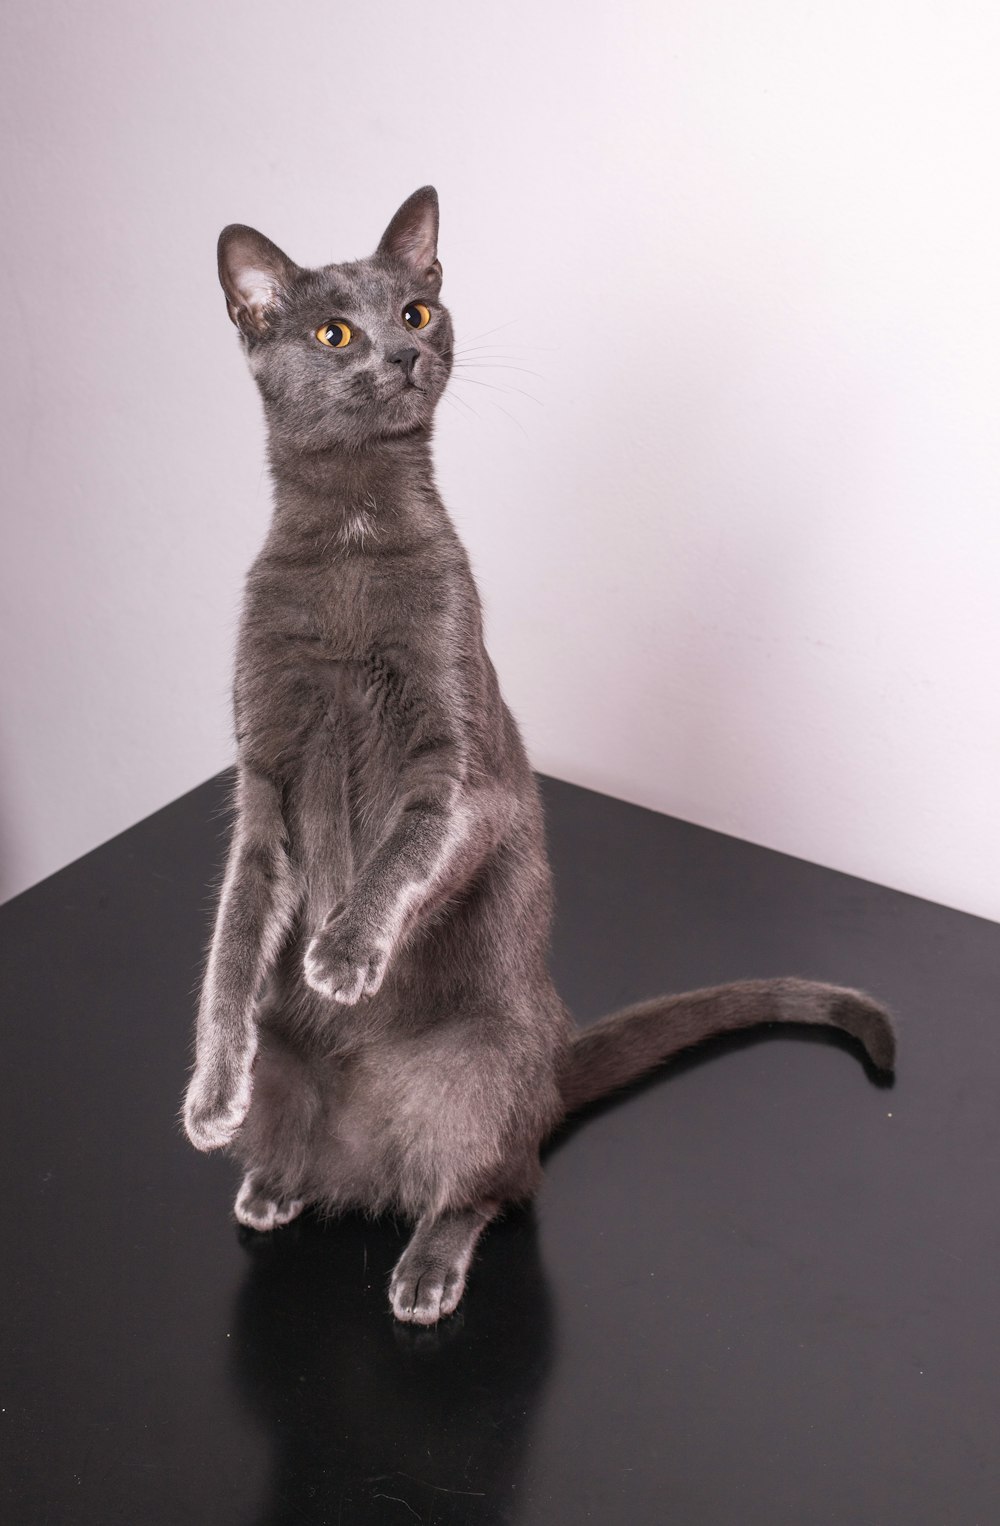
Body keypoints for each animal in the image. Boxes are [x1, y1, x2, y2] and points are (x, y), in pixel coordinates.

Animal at [183, 187, 897, 1324]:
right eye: (335, 331)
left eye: (418, 309)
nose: (402, 352)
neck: (349, 535)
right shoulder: (265, 779)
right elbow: (232, 936)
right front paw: (210, 1091)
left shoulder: (456, 757)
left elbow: (413, 844)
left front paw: (342, 953)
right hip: (300, 1079)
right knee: (324, 1151)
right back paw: (272, 1180)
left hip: (480, 1077)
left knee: (493, 1184)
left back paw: (427, 1262)